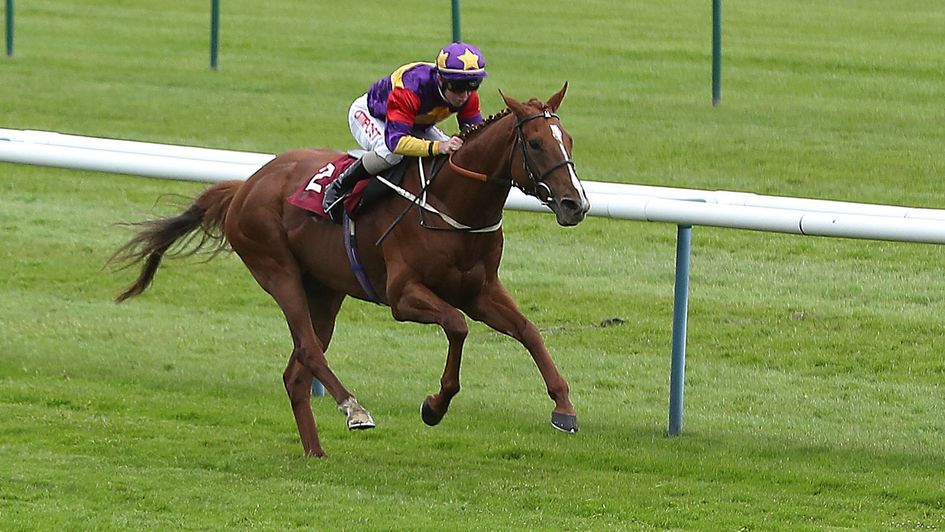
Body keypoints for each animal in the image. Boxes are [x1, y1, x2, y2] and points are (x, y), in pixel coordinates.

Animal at [112, 84, 592, 458]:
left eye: (569, 139)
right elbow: (457, 326)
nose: (576, 204)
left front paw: (564, 409)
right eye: (535, 144)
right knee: (309, 350)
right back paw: (353, 409)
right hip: (278, 271)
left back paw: (315, 451)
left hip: (325, 290)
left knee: (296, 373)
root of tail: (246, 184)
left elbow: (528, 331)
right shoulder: (403, 296)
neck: (452, 204)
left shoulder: (481, 290)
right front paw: (434, 405)